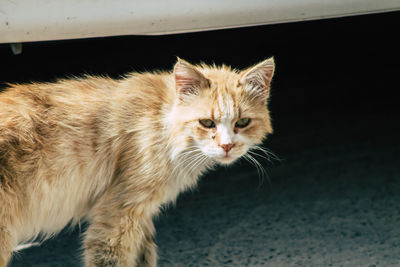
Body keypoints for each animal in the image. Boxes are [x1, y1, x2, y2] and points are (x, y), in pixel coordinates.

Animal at [0, 57, 276, 266]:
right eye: (207, 123)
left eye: (242, 122)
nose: (227, 146)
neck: (162, 123)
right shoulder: (116, 216)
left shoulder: (141, 216)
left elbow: (145, 256)